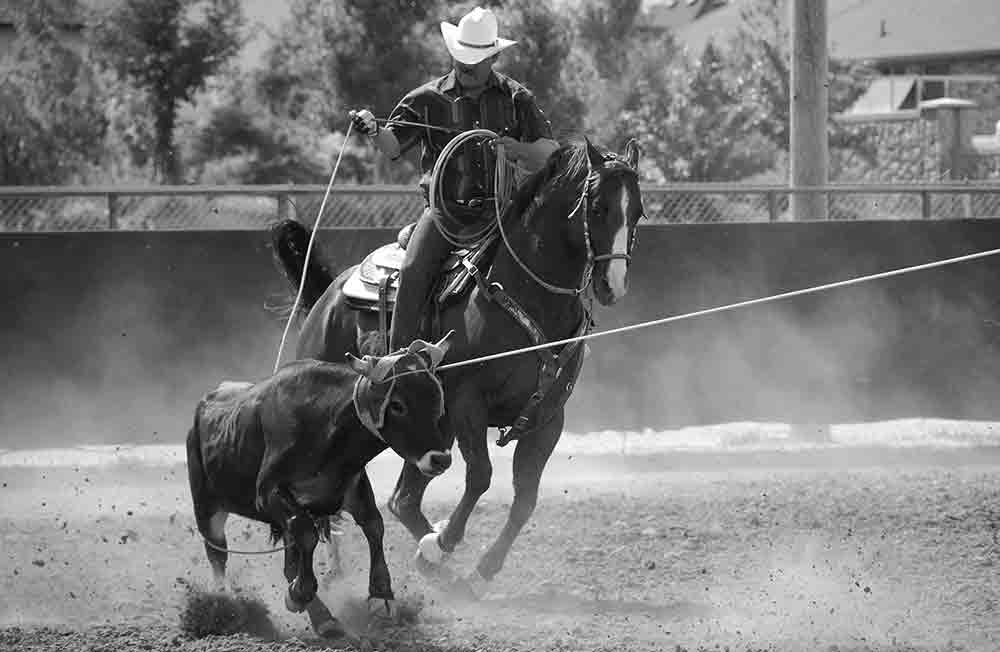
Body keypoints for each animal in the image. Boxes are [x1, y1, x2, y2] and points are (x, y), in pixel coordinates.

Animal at [270, 138, 644, 596]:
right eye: (599, 207)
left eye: (638, 210)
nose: (613, 284)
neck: (529, 296)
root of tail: (330, 293)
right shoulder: (468, 403)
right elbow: (481, 475)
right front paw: (441, 544)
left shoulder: (548, 417)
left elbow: (525, 498)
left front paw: (477, 567)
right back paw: (337, 565)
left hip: (428, 428)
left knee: (402, 500)